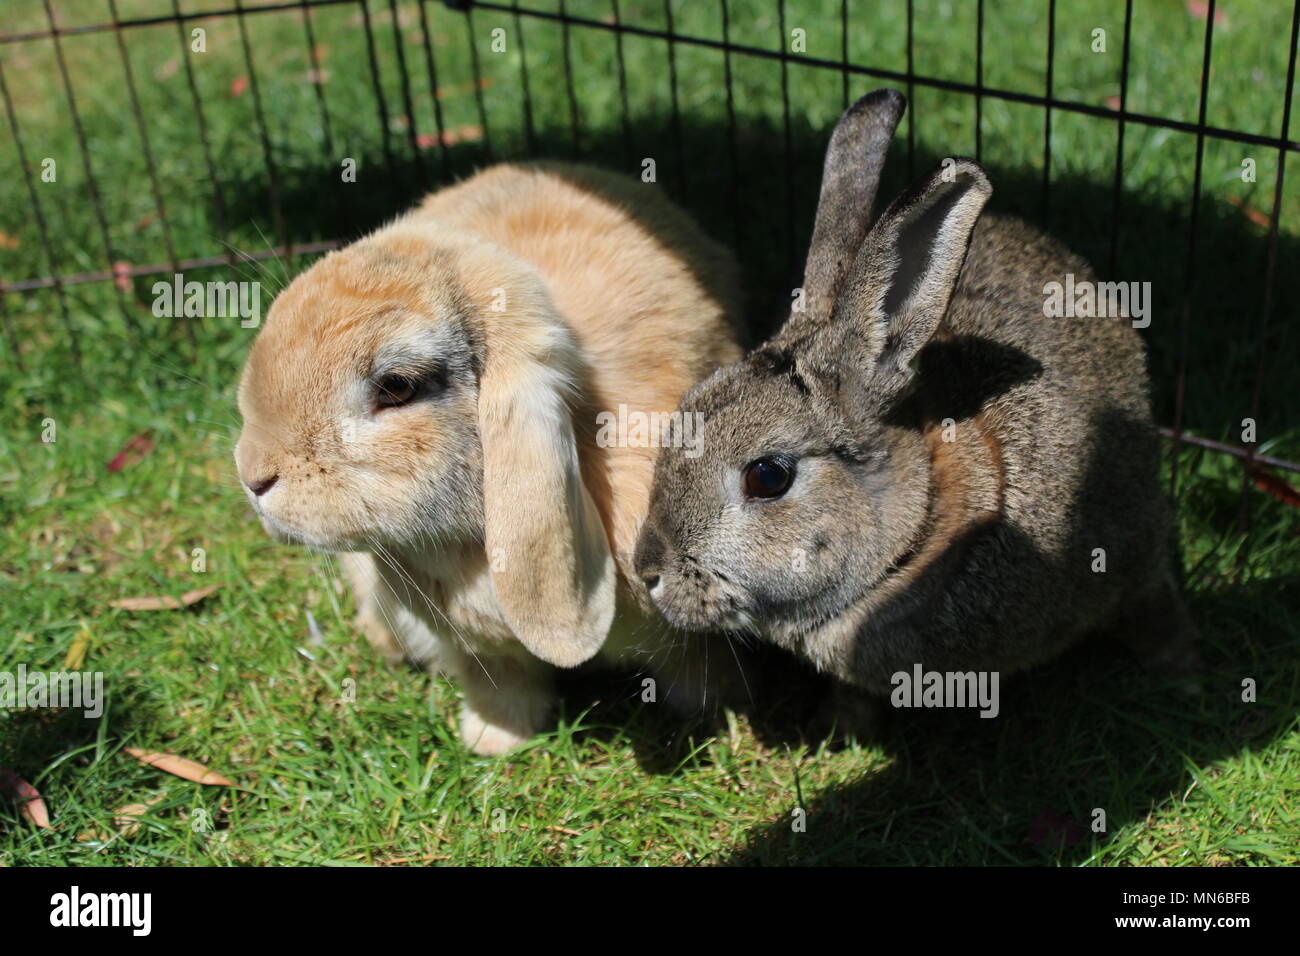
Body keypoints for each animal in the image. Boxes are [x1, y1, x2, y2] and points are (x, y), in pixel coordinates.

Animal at [633, 89, 1199, 721]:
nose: (647, 572)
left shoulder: (1128, 547)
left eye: (767, 476)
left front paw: (1182, 670)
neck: (917, 535)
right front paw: (845, 726)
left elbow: (1152, 599)